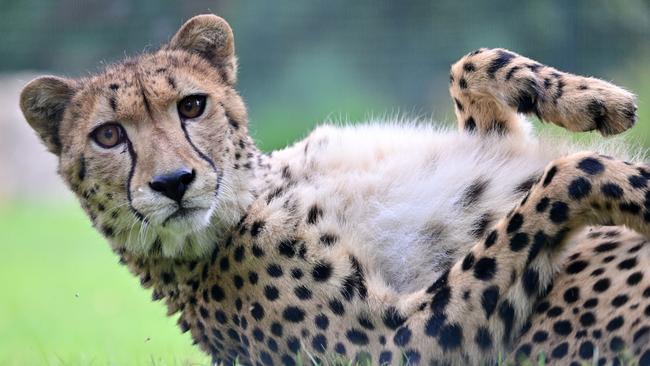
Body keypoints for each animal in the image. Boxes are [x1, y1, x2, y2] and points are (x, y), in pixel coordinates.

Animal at [17, 13, 644, 366]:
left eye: (192, 105)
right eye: (108, 135)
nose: (173, 183)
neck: (262, 190)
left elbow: (472, 63)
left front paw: (596, 99)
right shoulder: (397, 346)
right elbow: (567, 174)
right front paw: (638, 185)